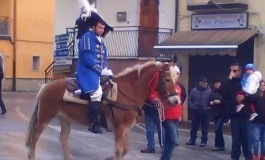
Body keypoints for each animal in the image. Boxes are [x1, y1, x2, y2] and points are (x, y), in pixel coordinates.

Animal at [25, 60, 179, 159]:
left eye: (176, 79)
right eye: (167, 79)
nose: (176, 101)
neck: (128, 91)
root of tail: (46, 86)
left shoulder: (126, 128)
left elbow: (125, 150)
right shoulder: (119, 127)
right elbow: (119, 151)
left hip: (65, 119)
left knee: (63, 139)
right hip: (45, 117)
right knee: (35, 135)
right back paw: (32, 156)